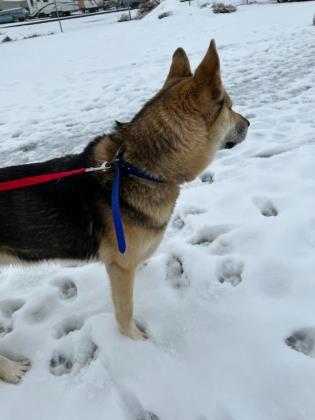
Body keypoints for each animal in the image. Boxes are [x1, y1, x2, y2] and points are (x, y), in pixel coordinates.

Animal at [0, 41, 249, 382]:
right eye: (231, 106)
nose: (249, 123)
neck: (139, 167)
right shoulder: (119, 268)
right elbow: (125, 312)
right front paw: (135, 342)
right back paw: (11, 371)